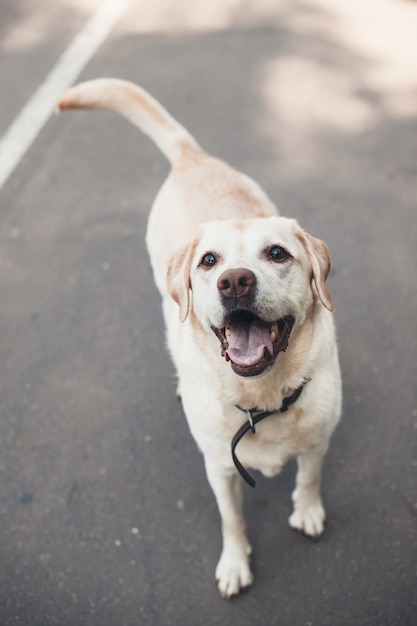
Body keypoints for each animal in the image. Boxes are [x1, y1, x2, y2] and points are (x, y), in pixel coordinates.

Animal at [59, 80, 342, 596]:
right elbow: (232, 521)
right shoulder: (220, 469)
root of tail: (193, 156)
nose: (235, 282)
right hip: (164, 294)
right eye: (209, 261)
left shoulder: (317, 443)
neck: (260, 399)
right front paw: (235, 563)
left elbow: (309, 481)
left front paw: (308, 512)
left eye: (277, 253)